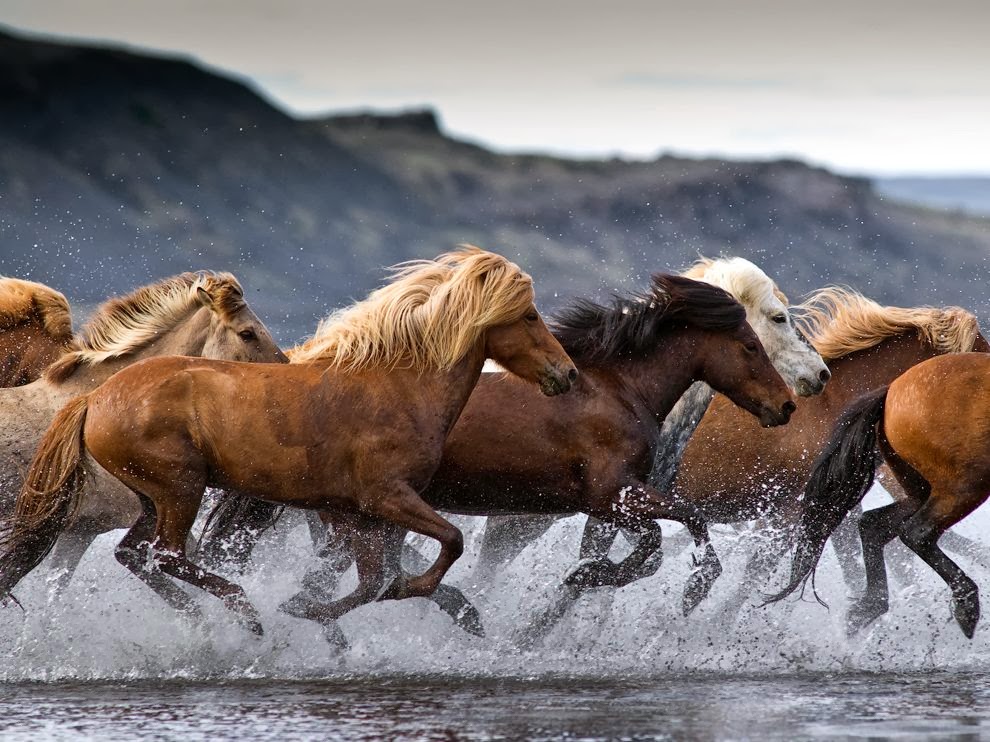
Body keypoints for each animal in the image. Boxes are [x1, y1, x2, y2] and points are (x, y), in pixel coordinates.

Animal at [768, 352, 990, 639]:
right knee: (916, 532)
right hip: (965, 486)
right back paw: (966, 605)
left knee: (873, 524)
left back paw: (869, 607)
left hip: (924, 489)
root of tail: (890, 391)